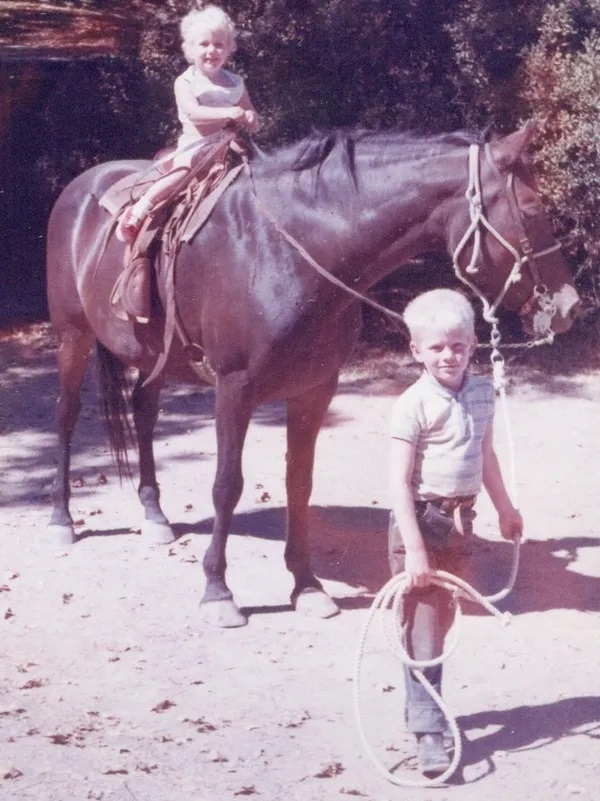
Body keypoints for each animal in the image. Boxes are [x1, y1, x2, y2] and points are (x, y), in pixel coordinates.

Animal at [47, 123, 580, 624]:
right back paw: (61, 519)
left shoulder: (314, 389)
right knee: (67, 417)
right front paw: (218, 591)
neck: (290, 252)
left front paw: (306, 586)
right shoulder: (234, 389)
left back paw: (155, 515)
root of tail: (81, 185)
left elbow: (298, 484)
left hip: (154, 356)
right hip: (73, 336)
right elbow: (226, 486)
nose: (570, 307)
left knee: (144, 411)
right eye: (533, 210)